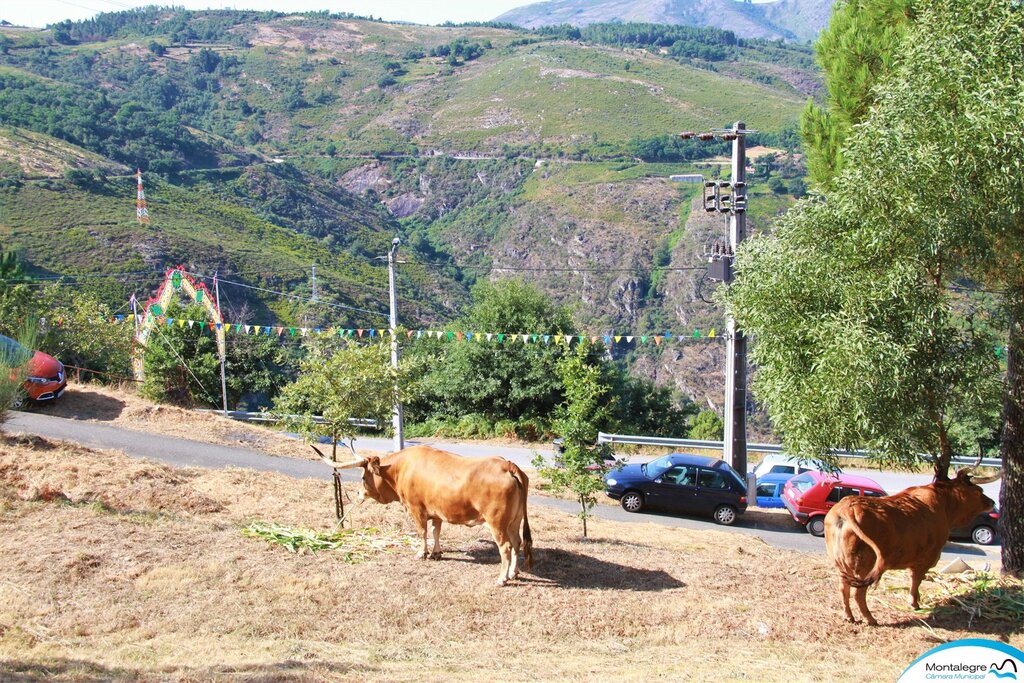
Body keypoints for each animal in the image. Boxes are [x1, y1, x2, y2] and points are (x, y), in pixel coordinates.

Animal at [313, 444, 536, 589]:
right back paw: (514, 573)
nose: (359, 493)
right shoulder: (436, 511)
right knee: (517, 543)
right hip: (514, 520)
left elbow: (422, 532)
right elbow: (436, 531)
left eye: (362, 477)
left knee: (505, 547)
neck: (400, 468)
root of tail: (507, 464)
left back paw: (502, 579)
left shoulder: (416, 509)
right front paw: (437, 553)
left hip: (497, 522)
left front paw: (422, 553)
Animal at [823, 462, 999, 626]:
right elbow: (916, 580)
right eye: (978, 491)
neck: (944, 505)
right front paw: (914, 603)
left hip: (842, 565)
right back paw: (871, 619)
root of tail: (847, 508)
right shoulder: (926, 558)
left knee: (843, 589)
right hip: (864, 566)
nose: (992, 502)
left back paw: (849, 616)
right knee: (858, 593)